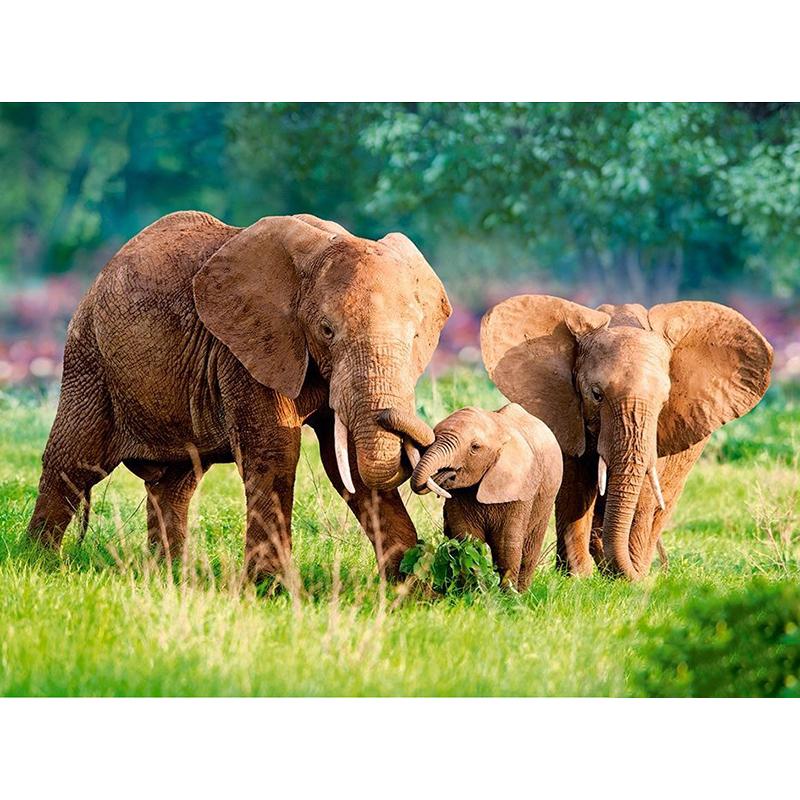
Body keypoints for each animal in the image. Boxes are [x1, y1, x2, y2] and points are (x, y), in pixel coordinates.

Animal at [27, 211, 452, 581]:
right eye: (326, 330)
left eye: (416, 335)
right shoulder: (246, 348)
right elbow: (278, 450)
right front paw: (270, 589)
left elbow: (345, 464)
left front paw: (411, 587)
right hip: (88, 357)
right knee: (73, 460)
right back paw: (39, 561)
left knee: (175, 483)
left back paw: (170, 575)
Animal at [409, 404, 563, 591]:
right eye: (434, 436)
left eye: (475, 447)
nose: (444, 474)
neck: (499, 429)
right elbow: (468, 538)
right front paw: (474, 591)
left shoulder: (520, 488)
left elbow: (506, 544)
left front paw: (507, 595)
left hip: (546, 499)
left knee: (530, 551)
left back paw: (523, 592)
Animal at [481, 295, 773, 580]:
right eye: (596, 395)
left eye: (664, 401)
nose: (656, 573)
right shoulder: (565, 413)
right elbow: (575, 485)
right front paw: (577, 578)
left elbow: (644, 491)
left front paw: (630, 577)